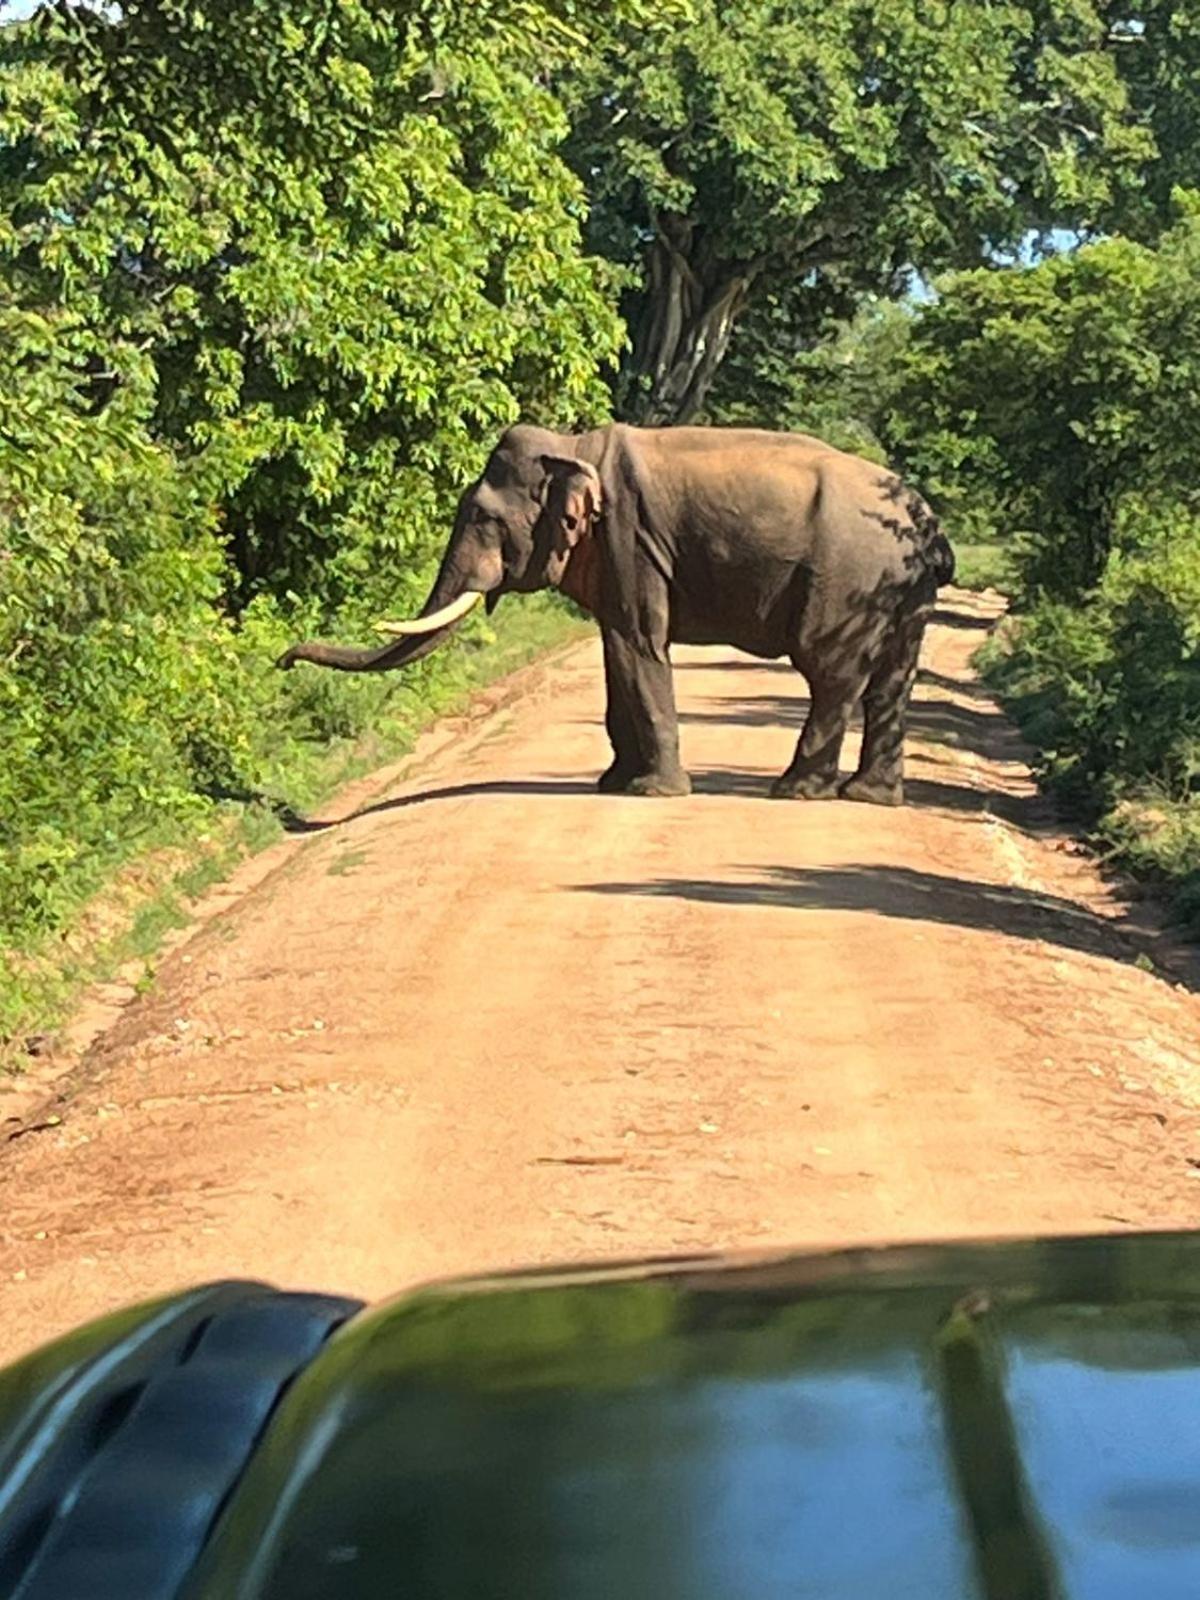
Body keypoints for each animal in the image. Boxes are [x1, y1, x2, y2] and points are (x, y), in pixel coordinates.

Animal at [275, 422, 960, 806]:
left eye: (484, 519)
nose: (282, 660)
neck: (573, 447)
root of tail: (929, 523)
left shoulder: (631, 537)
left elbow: (639, 646)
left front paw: (652, 793)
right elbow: (614, 651)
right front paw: (613, 783)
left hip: (847, 581)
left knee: (832, 675)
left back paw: (795, 791)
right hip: (902, 592)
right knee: (892, 683)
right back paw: (870, 797)